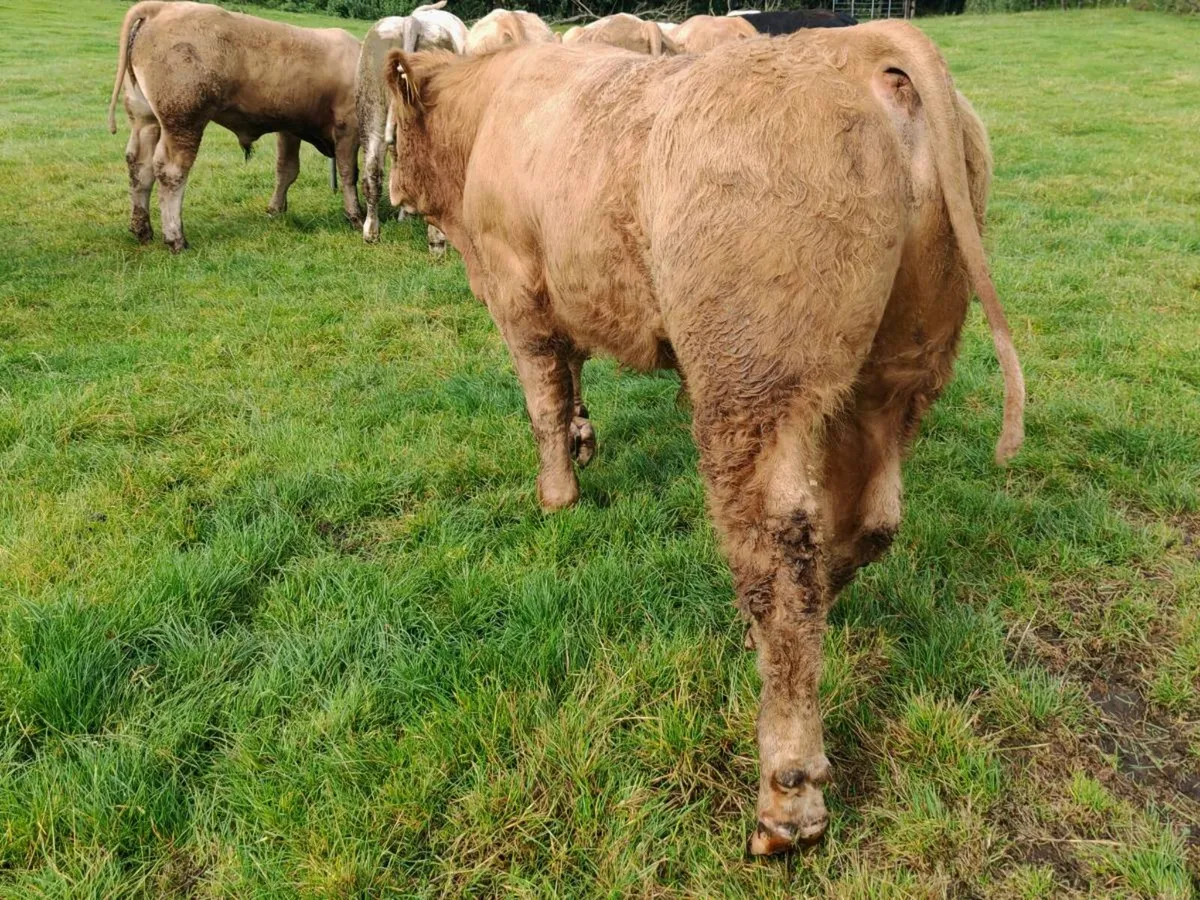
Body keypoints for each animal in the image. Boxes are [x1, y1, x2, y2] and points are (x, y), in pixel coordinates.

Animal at [106, 1, 362, 252]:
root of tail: (160, 8)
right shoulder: (348, 125)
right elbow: (348, 172)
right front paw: (356, 216)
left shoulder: (289, 128)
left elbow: (286, 170)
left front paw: (276, 210)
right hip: (183, 120)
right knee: (171, 171)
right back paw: (176, 238)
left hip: (145, 119)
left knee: (140, 166)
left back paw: (142, 229)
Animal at [381, 21, 1025, 855]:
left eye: (393, 133)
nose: (391, 192)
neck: (495, 108)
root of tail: (854, 42)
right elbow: (574, 379)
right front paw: (585, 442)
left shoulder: (520, 296)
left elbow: (544, 400)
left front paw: (558, 493)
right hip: (896, 372)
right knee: (862, 523)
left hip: (751, 388)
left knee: (782, 559)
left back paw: (786, 798)